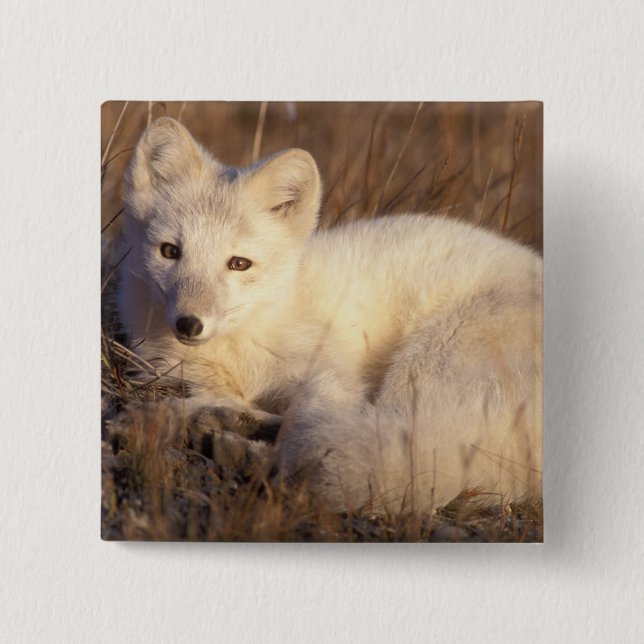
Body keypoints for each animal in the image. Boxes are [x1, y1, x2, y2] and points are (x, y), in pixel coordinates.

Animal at [117, 116, 543, 514]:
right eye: (170, 251)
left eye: (239, 263)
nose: (190, 324)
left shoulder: (331, 377)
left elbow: (302, 424)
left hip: (425, 366)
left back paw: (242, 452)